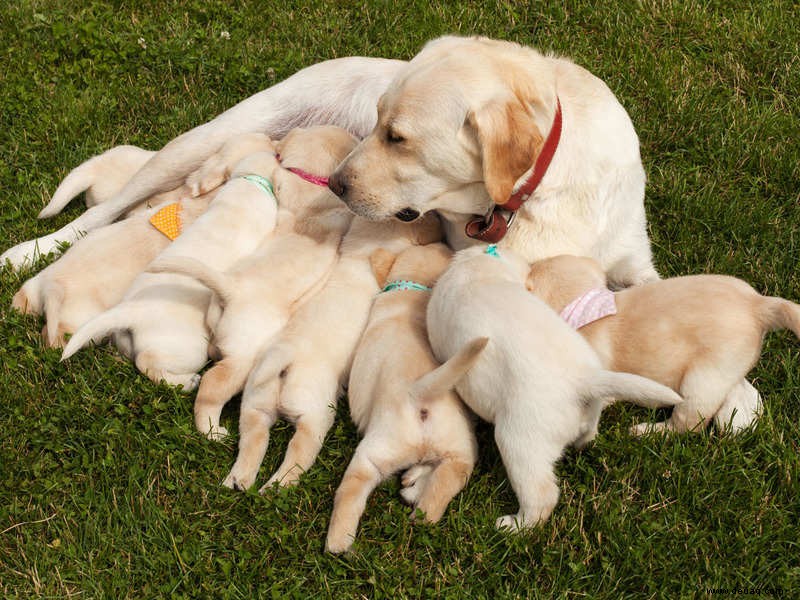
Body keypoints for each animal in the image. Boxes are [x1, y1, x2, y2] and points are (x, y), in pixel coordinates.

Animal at [60, 135, 278, 390]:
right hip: (189, 349)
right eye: (275, 152)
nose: (273, 138)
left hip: (124, 338)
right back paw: (187, 382)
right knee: (148, 363)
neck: (246, 181)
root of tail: (132, 313)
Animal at [222, 213, 440, 494]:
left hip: (255, 406)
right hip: (315, 417)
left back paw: (238, 480)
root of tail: (285, 358)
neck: (358, 256)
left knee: (253, 440)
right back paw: (275, 487)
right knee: (297, 453)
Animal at [324, 243, 482, 552]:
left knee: (352, 490)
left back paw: (338, 543)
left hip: (374, 451)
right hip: (460, 445)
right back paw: (419, 506)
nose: (445, 243)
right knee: (446, 481)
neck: (413, 287)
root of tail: (419, 393)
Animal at [424, 246, 680, 532]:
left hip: (518, 442)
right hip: (587, 414)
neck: (475, 271)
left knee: (542, 497)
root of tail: (584, 379)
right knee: (588, 434)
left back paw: (512, 526)